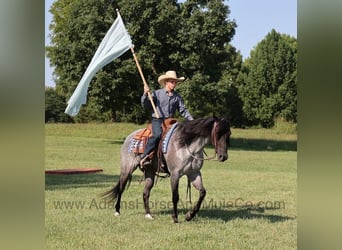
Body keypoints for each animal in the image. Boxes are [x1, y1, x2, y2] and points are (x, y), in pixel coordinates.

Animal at [101, 115, 230, 223]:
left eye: (228, 134)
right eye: (217, 133)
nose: (223, 156)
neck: (185, 145)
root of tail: (129, 137)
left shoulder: (194, 173)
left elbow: (202, 192)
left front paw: (190, 215)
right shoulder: (175, 174)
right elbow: (175, 196)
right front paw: (175, 218)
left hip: (150, 172)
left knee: (145, 192)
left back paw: (148, 214)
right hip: (127, 169)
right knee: (121, 188)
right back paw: (117, 211)